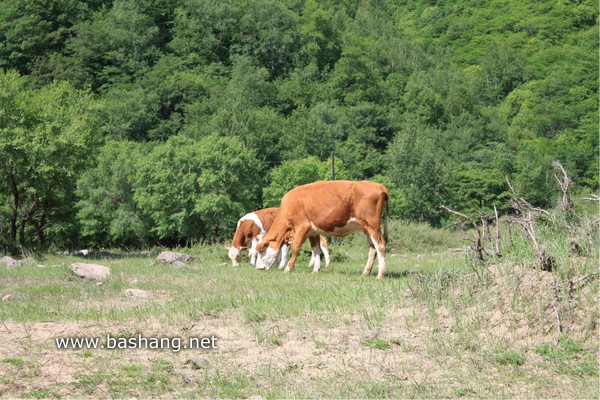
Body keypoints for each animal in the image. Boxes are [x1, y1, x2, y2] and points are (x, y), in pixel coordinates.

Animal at [253, 181, 390, 278]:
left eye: (261, 251)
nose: (258, 268)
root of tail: (378, 185)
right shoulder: (313, 232)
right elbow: (316, 249)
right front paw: (315, 269)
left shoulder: (302, 226)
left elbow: (296, 247)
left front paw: (288, 268)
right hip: (366, 229)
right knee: (372, 249)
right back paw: (365, 272)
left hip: (372, 225)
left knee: (380, 245)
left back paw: (380, 274)